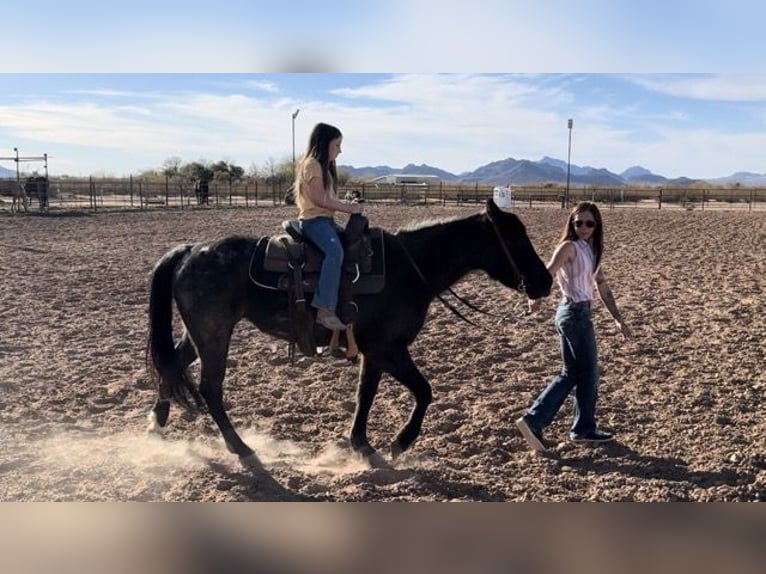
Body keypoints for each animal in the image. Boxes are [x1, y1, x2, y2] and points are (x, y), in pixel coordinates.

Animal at [146, 198, 552, 468]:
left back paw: (156, 424)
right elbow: (424, 391)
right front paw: (399, 443)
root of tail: (189, 251)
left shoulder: (374, 352)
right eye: (515, 239)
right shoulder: (389, 348)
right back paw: (240, 448)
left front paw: (362, 444)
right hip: (214, 333)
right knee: (210, 388)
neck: (411, 268)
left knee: (172, 364)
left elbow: (365, 395)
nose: (546, 282)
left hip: (199, 333)